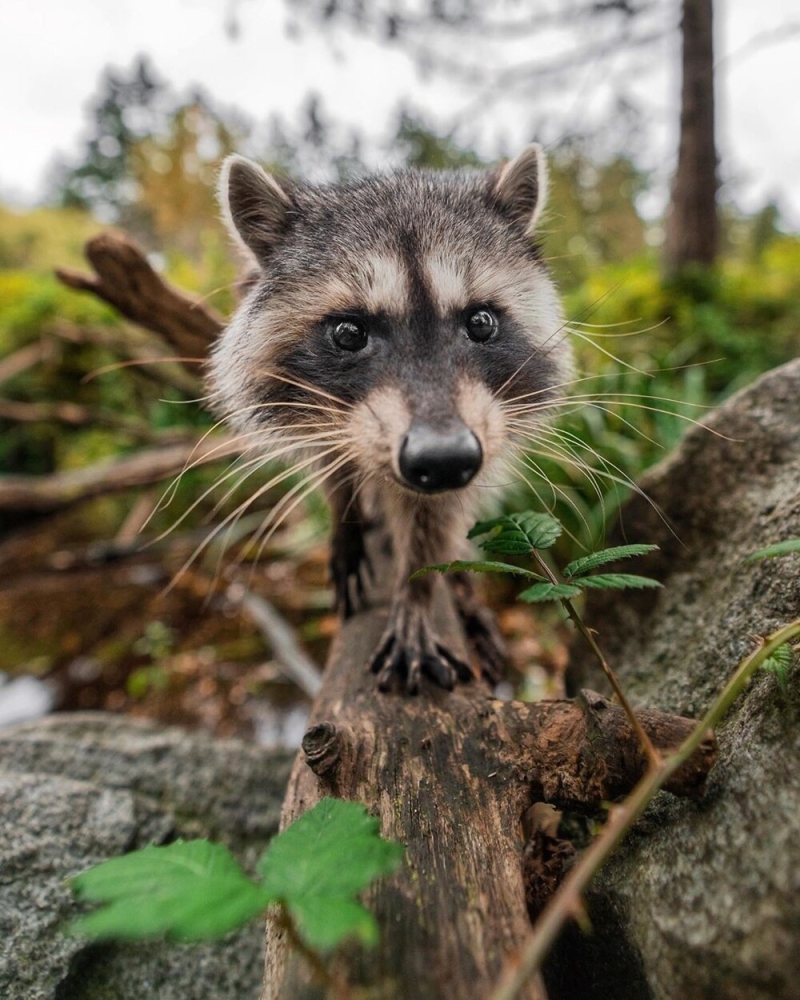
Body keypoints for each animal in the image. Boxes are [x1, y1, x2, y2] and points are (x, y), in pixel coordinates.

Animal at [212, 148, 572, 696]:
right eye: (348, 332)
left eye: (481, 322)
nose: (443, 459)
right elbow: (331, 460)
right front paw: (345, 514)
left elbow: (437, 517)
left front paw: (418, 589)